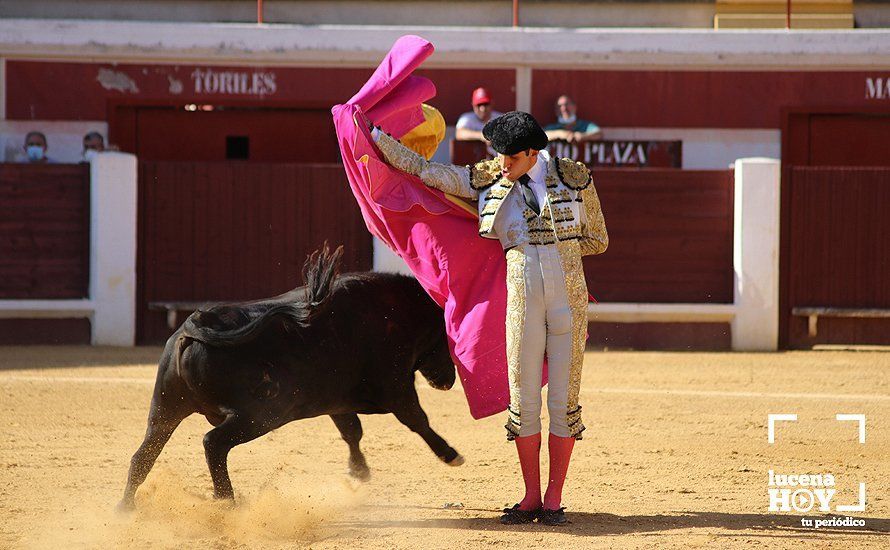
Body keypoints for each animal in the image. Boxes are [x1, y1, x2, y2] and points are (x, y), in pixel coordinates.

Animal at [120, 248, 464, 512]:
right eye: (448, 338)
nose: (448, 381)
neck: (401, 313)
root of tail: (198, 322)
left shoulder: (338, 399)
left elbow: (351, 431)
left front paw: (359, 472)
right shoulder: (397, 387)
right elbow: (417, 420)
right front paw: (451, 455)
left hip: (165, 408)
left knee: (142, 455)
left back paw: (125, 508)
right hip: (262, 415)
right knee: (212, 443)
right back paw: (226, 500)